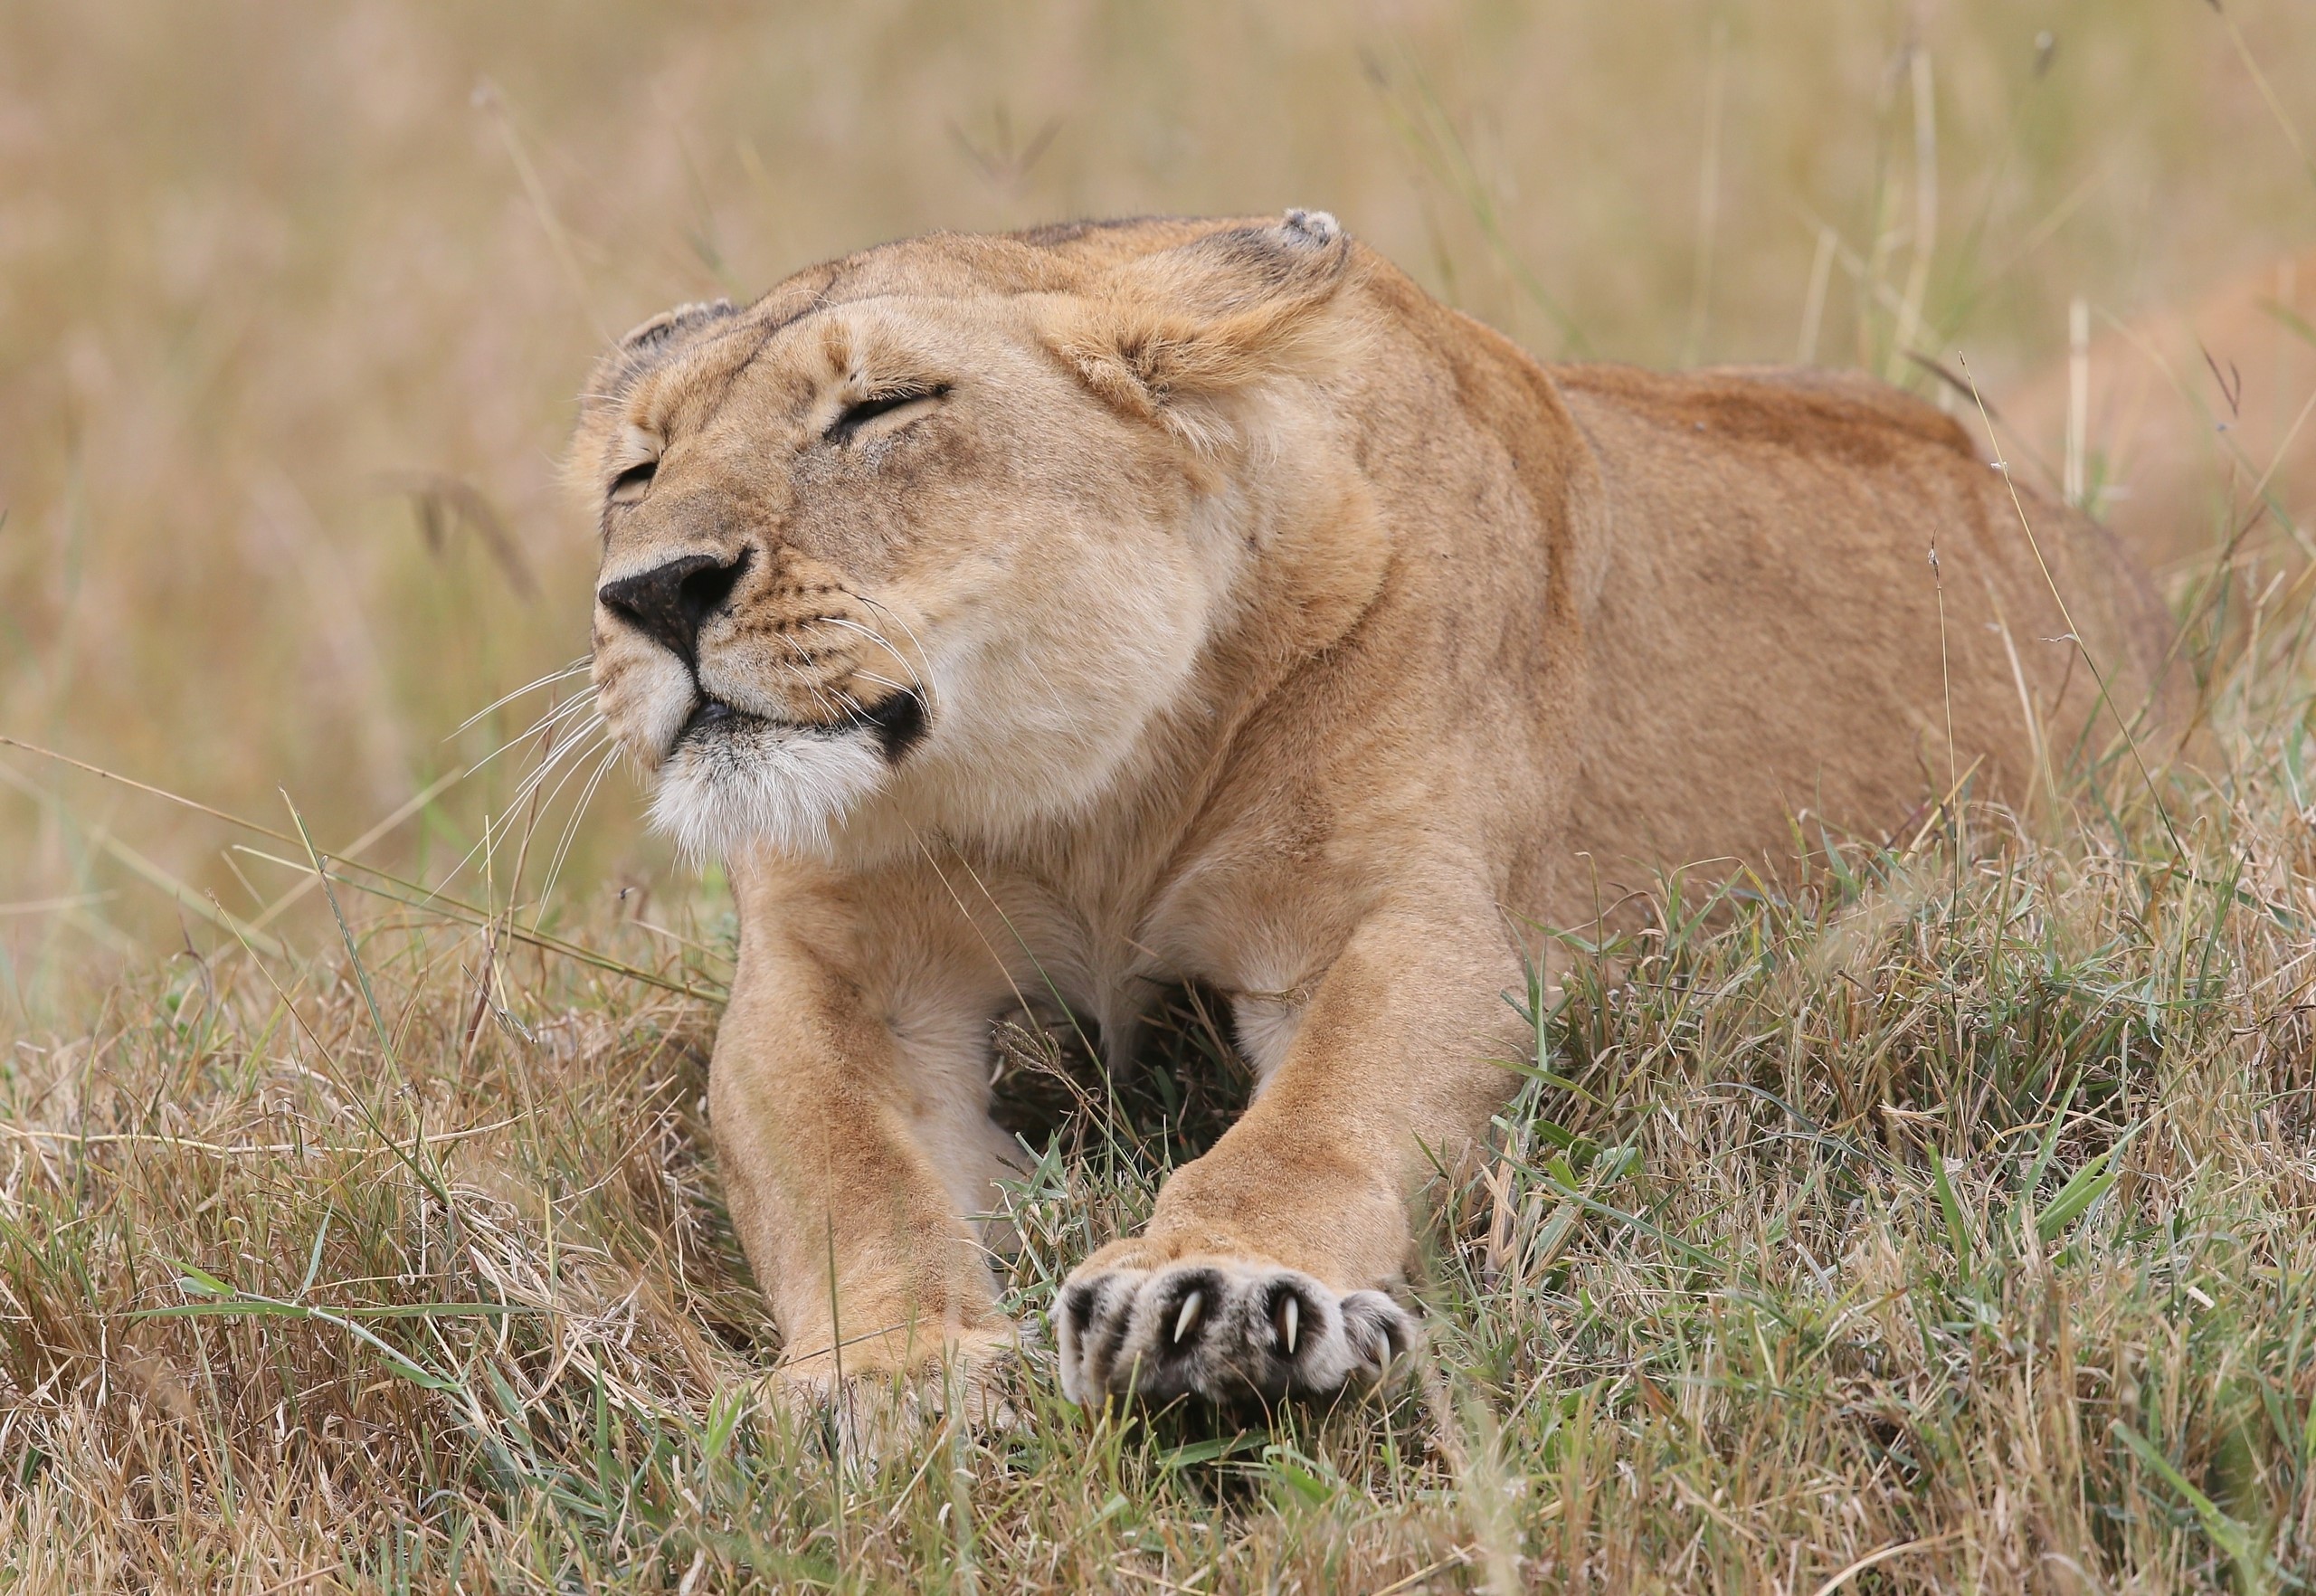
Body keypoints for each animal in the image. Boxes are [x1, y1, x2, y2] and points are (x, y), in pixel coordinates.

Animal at [571, 211, 2176, 1419]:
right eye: (636, 471)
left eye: (882, 411)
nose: (651, 594)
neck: (1084, 807)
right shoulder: (826, 975)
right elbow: (852, 1174)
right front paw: (892, 1376)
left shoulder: (1408, 929)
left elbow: (1320, 1119)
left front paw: (1213, 1297)